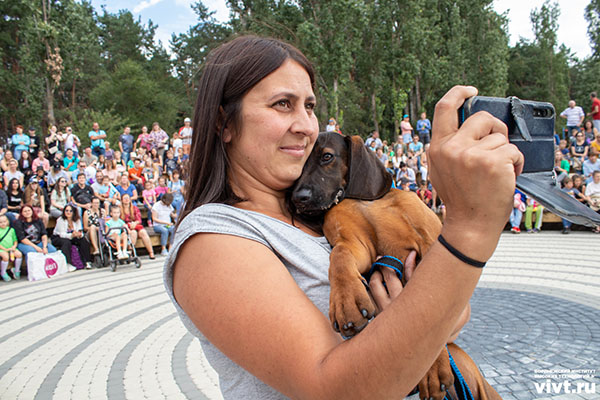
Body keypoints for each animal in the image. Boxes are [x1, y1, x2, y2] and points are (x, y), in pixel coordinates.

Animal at [291, 132, 501, 400]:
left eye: (327, 156)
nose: (298, 199)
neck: (363, 201)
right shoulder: (355, 245)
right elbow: (339, 256)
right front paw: (346, 301)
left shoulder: (427, 243)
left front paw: (433, 368)